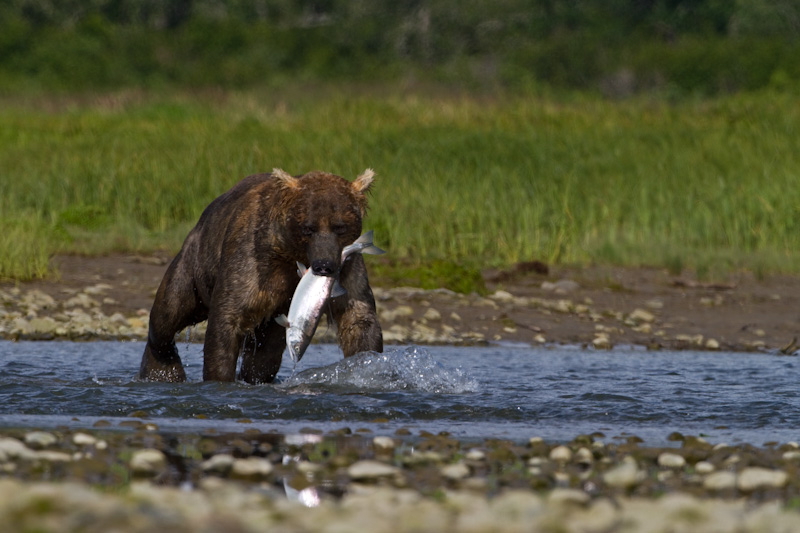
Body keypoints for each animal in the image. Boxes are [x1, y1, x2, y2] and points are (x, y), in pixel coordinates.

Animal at [138, 168, 384, 380]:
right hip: (196, 264)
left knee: (263, 359)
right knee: (168, 314)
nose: (324, 266)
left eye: (339, 227)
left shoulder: (349, 269)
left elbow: (358, 319)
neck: (291, 254)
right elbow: (228, 318)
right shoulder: (252, 261)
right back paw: (162, 370)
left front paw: (365, 364)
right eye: (308, 228)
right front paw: (219, 377)